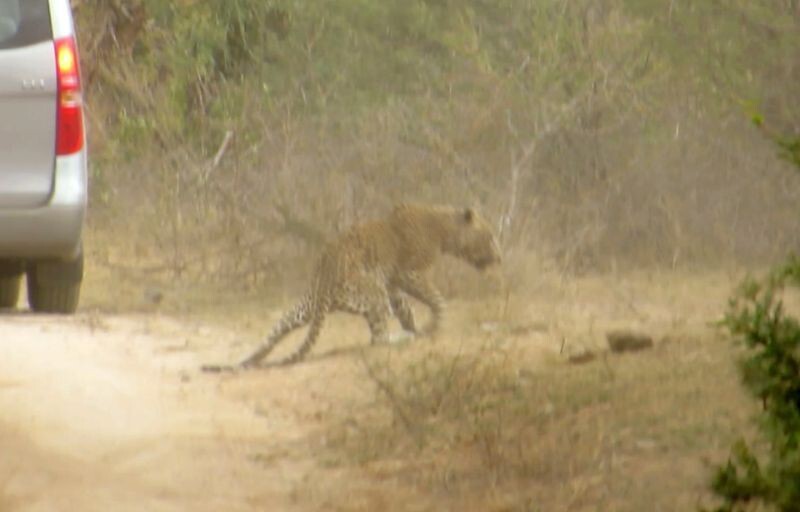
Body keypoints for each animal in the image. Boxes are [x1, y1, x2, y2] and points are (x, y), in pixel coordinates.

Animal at [212, 202, 500, 370]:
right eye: (489, 236)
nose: (499, 258)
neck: (444, 229)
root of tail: (324, 279)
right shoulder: (409, 275)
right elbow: (437, 301)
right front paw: (431, 327)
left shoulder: (393, 285)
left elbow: (406, 309)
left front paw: (417, 328)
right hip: (374, 293)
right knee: (378, 339)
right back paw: (401, 339)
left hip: (302, 309)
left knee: (272, 335)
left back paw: (247, 360)